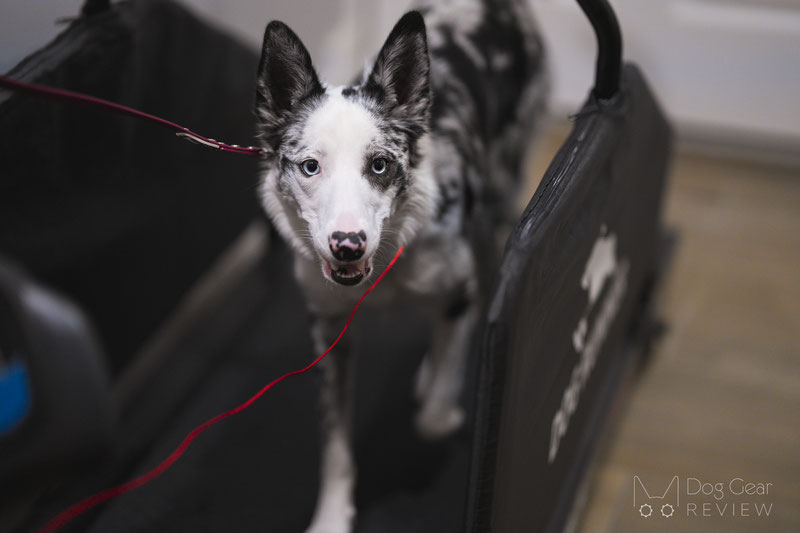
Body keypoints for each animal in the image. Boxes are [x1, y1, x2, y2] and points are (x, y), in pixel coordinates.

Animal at [256, 2, 552, 528]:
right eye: (310, 166)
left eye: (379, 165)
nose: (347, 245)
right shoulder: (329, 335)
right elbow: (335, 446)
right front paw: (332, 518)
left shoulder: (455, 284)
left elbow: (434, 417)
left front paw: (446, 401)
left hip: (498, 194)